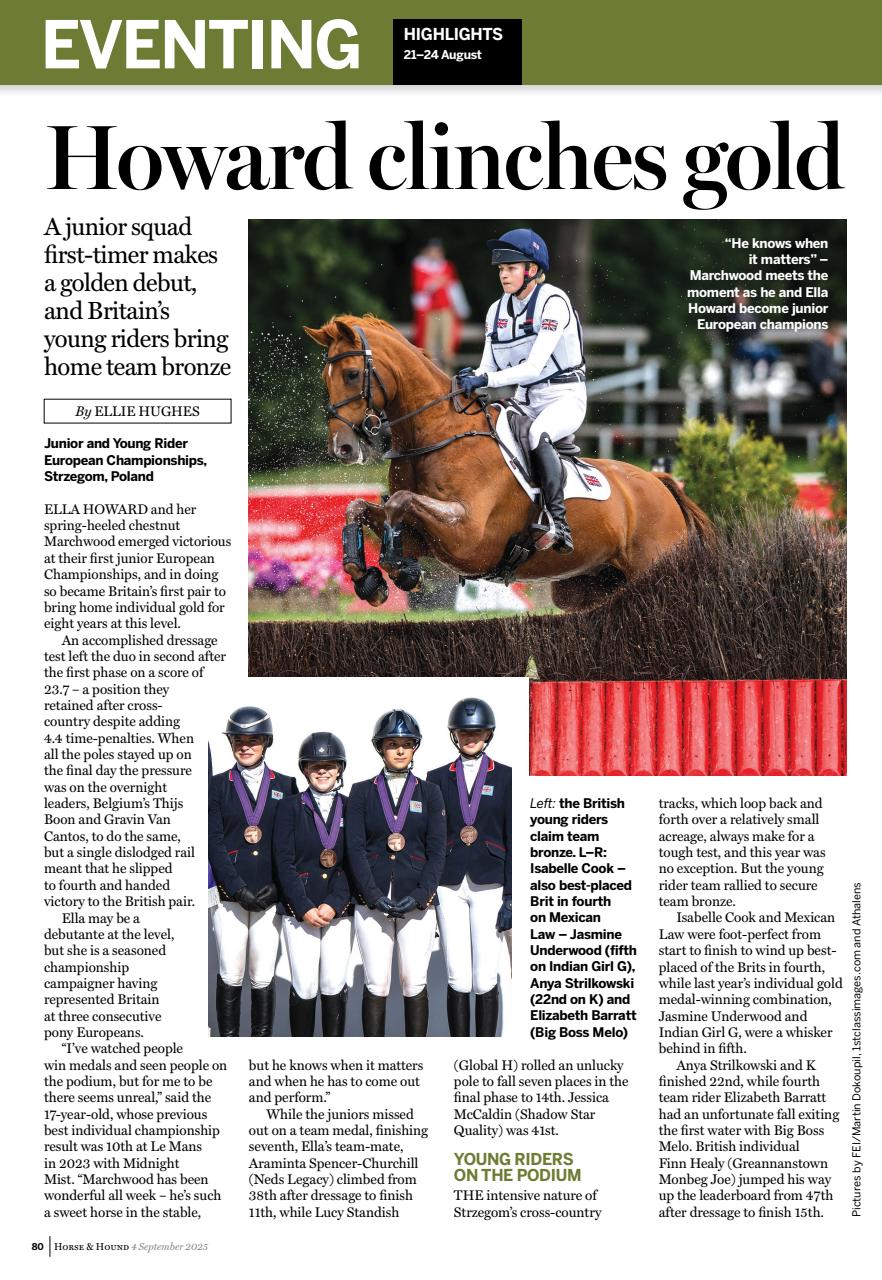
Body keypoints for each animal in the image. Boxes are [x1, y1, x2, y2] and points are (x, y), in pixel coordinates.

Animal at [303, 314, 712, 611]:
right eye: (326, 379)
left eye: (352, 374)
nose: (341, 448)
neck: (437, 432)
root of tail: (660, 483)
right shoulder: (427, 538)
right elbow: (360, 508)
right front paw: (367, 576)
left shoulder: (468, 536)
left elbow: (400, 504)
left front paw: (400, 572)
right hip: (590, 586)